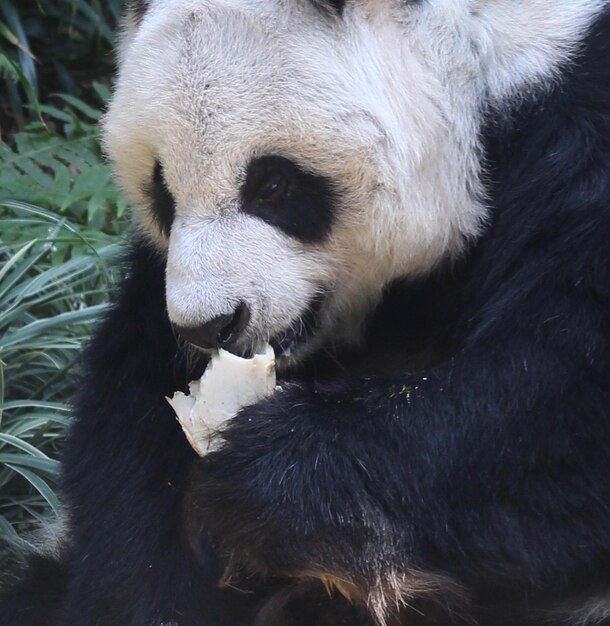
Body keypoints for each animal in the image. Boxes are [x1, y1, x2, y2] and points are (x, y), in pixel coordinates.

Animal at [1, 0, 608, 620]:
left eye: (271, 184)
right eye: (162, 193)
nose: (211, 325)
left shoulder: (575, 131)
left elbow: (553, 401)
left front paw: (273, 476)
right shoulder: (159, 284)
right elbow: (130, 417)